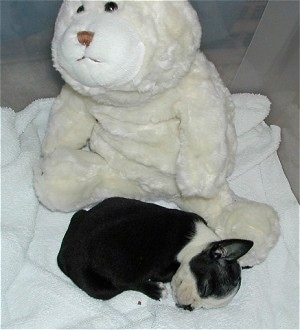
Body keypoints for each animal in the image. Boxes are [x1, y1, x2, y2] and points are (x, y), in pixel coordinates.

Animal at [57, 197, 252, 310]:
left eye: (201, 308)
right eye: (204, 288)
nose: (188, 307)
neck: (197, 241)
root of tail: (64, 256)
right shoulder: (162, 269)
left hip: (80, 215)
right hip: (101, 288)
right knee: (125, 284)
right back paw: (155, 290)